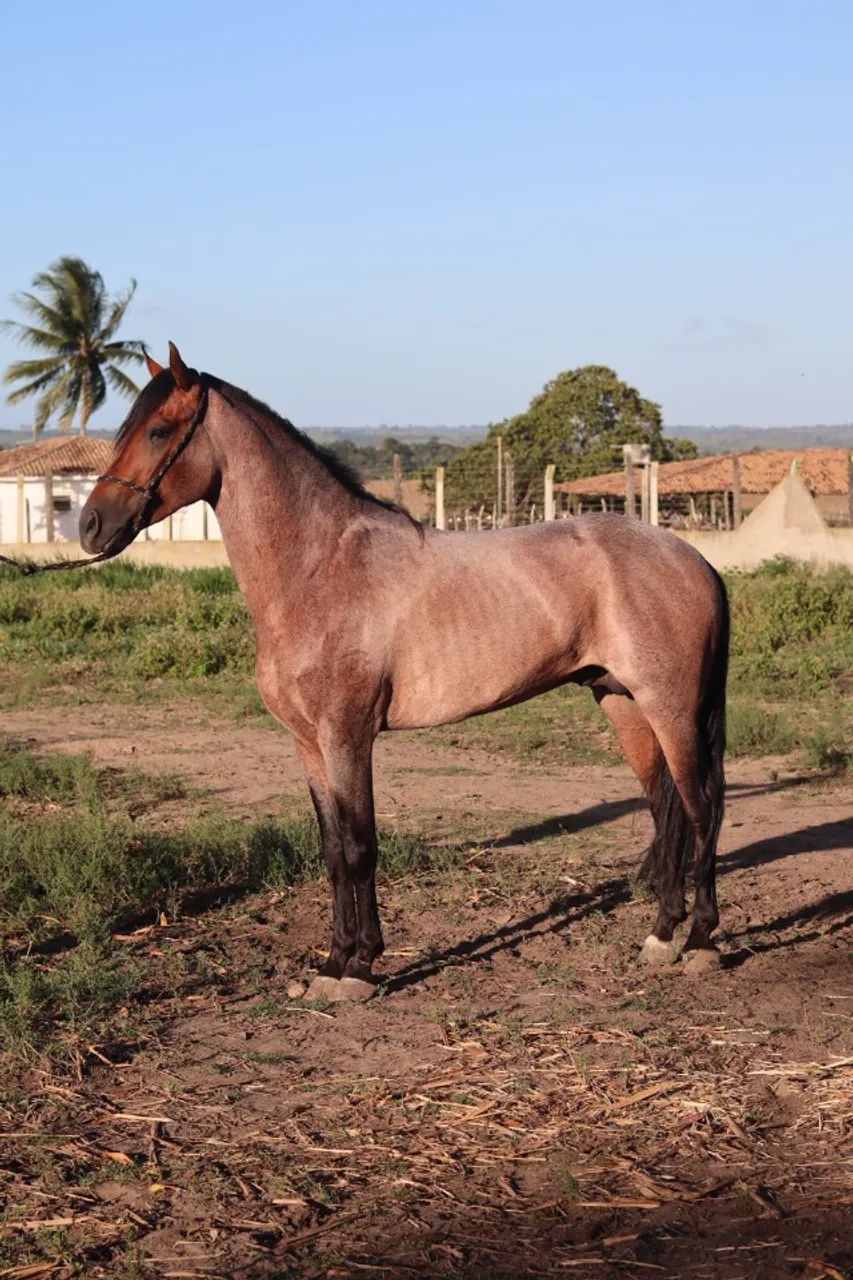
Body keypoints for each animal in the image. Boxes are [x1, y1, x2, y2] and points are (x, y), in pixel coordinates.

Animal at [80, 343, 729, 1000]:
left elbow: (360, 845)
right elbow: (333, 849)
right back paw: (661, 936)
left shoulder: (347, 736)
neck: (319, 567)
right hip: (622, 702)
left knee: (703, 808)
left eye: (159, 431)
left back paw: (701, 941)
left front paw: (360, 969)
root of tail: (694, 559)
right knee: (668, 808)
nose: (90, 525)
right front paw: (334, 962)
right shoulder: (309, 744)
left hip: (670, 708)